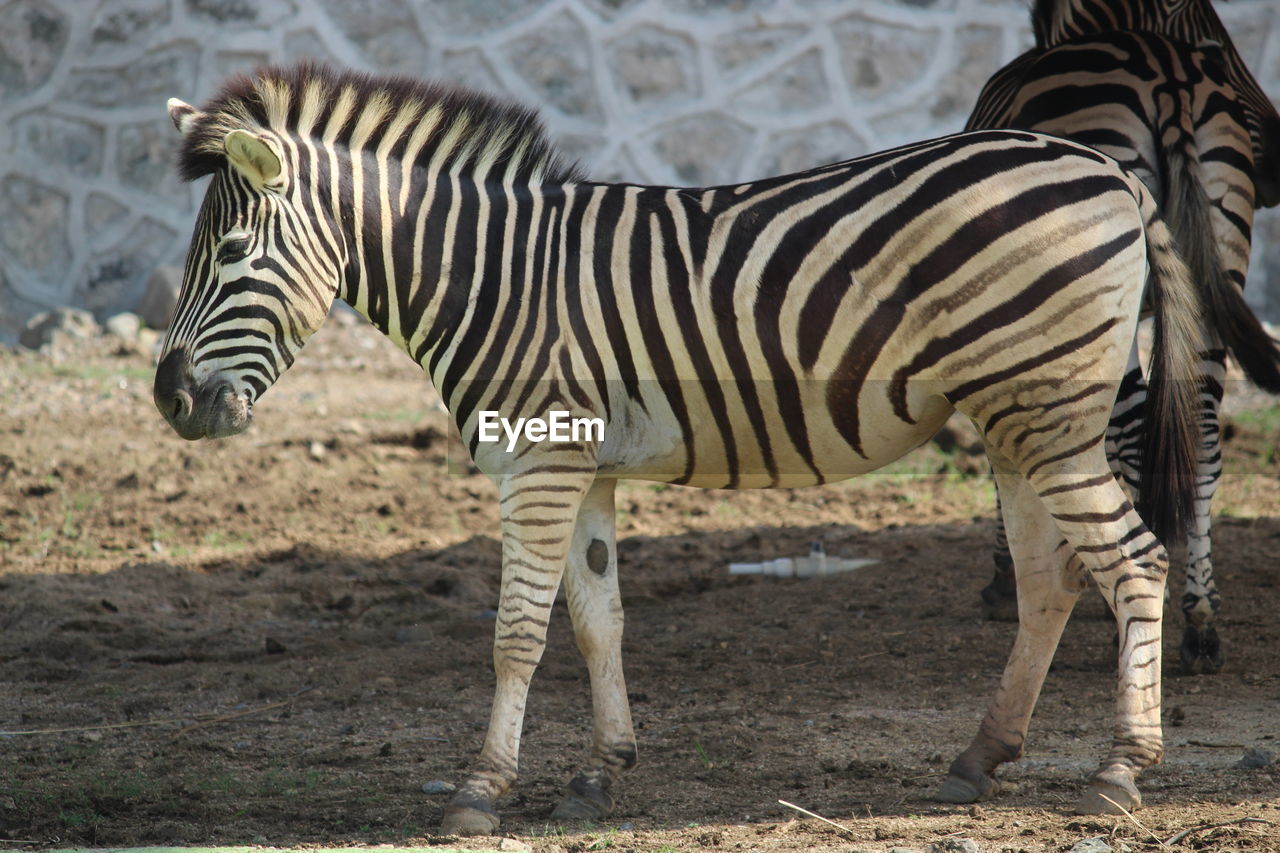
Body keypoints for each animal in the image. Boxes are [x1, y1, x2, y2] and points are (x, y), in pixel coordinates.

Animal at [154, 64, 1203, 829]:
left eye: (233, 257)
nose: (169, 398)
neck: (493, 277)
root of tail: (1109, 171)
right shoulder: (582, 467)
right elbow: (597, 620)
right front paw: (599, 773)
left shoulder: (537, 461)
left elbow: (516, 631)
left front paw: (482, 789)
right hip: (1017, 419)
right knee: (1051, 581)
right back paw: (979, 759)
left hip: (1050, 414)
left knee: (1136, 562)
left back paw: (1119, 772)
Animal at [967, 0, 1280, 671]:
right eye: (1220, 46)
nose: (1277, 174)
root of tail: (1168, 76)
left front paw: (1013, 580)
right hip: (1213, 257)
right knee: (1204, 432)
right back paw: (1198, 624)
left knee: (1136, 431)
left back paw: (1134, 613)